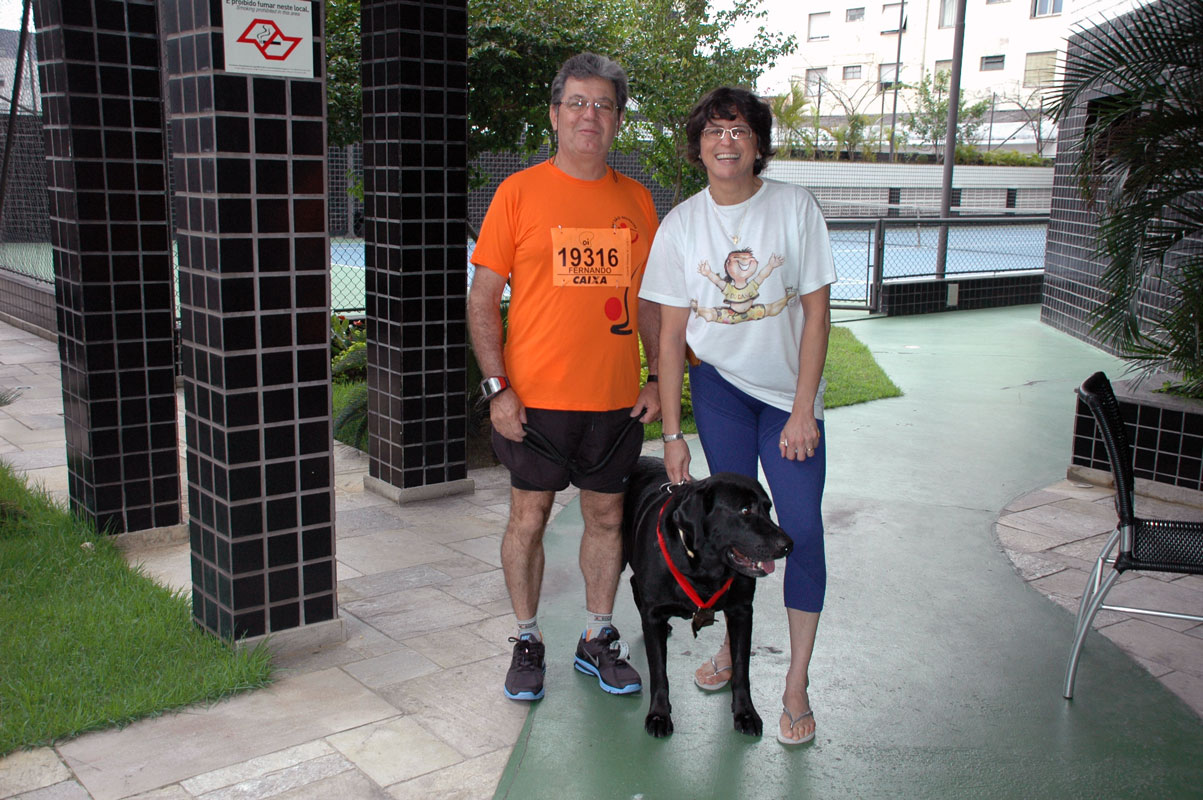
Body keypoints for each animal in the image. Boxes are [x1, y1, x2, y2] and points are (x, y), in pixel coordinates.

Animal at [625, 454, 793, 736]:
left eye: (768, 507)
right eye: (745, 510)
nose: (788, 545)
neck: (702, 568)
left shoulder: (741, 610)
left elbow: (741, 668)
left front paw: (745, 713)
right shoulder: (655, 611)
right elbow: (659, 671)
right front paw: (659, 714)